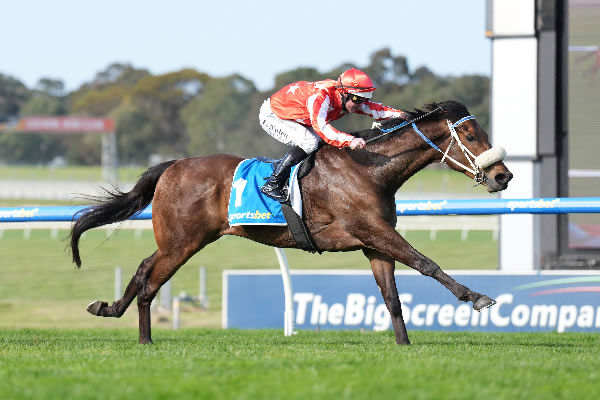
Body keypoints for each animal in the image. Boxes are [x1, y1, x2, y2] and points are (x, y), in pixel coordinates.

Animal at [69, 100, 510, 344]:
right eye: (471, 135)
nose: (503, 175)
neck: (370, 169)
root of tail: (172, 166)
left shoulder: (374, 242)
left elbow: (392, 296)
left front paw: (404, 346)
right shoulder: (374, 230)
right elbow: (426, 263)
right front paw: (477, 298)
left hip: (177, 241)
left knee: (144, 267)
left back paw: (109, 309)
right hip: (183, 242)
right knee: (150, 282)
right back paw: (145, 339)